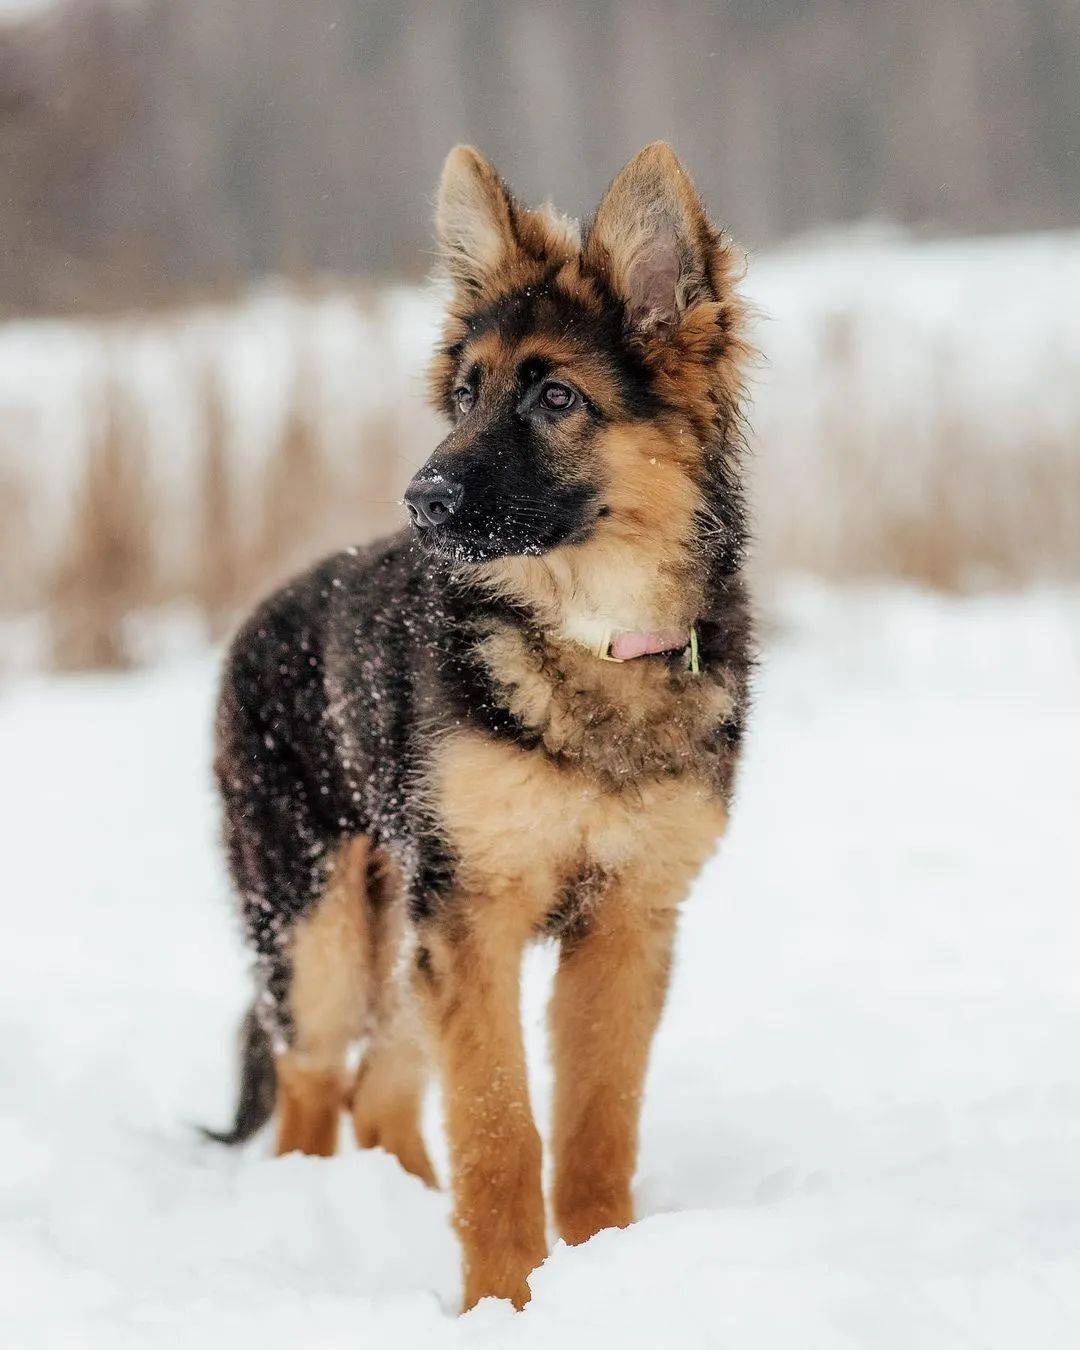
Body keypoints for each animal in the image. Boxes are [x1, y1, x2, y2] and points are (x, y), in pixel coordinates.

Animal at [209, 139, 750, 1306]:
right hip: (321, 927)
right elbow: (501, 1131)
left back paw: (401, 1202)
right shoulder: (474, 918)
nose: (420, 500)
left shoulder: (625, 924)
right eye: (466, 393)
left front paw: (607, 1266)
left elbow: (595, 1126)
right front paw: (503, 1301)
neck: (592, 639)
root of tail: (263, 613)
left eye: (556, 396)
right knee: (313, 1088)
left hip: (397, 936)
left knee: (380, 1092)